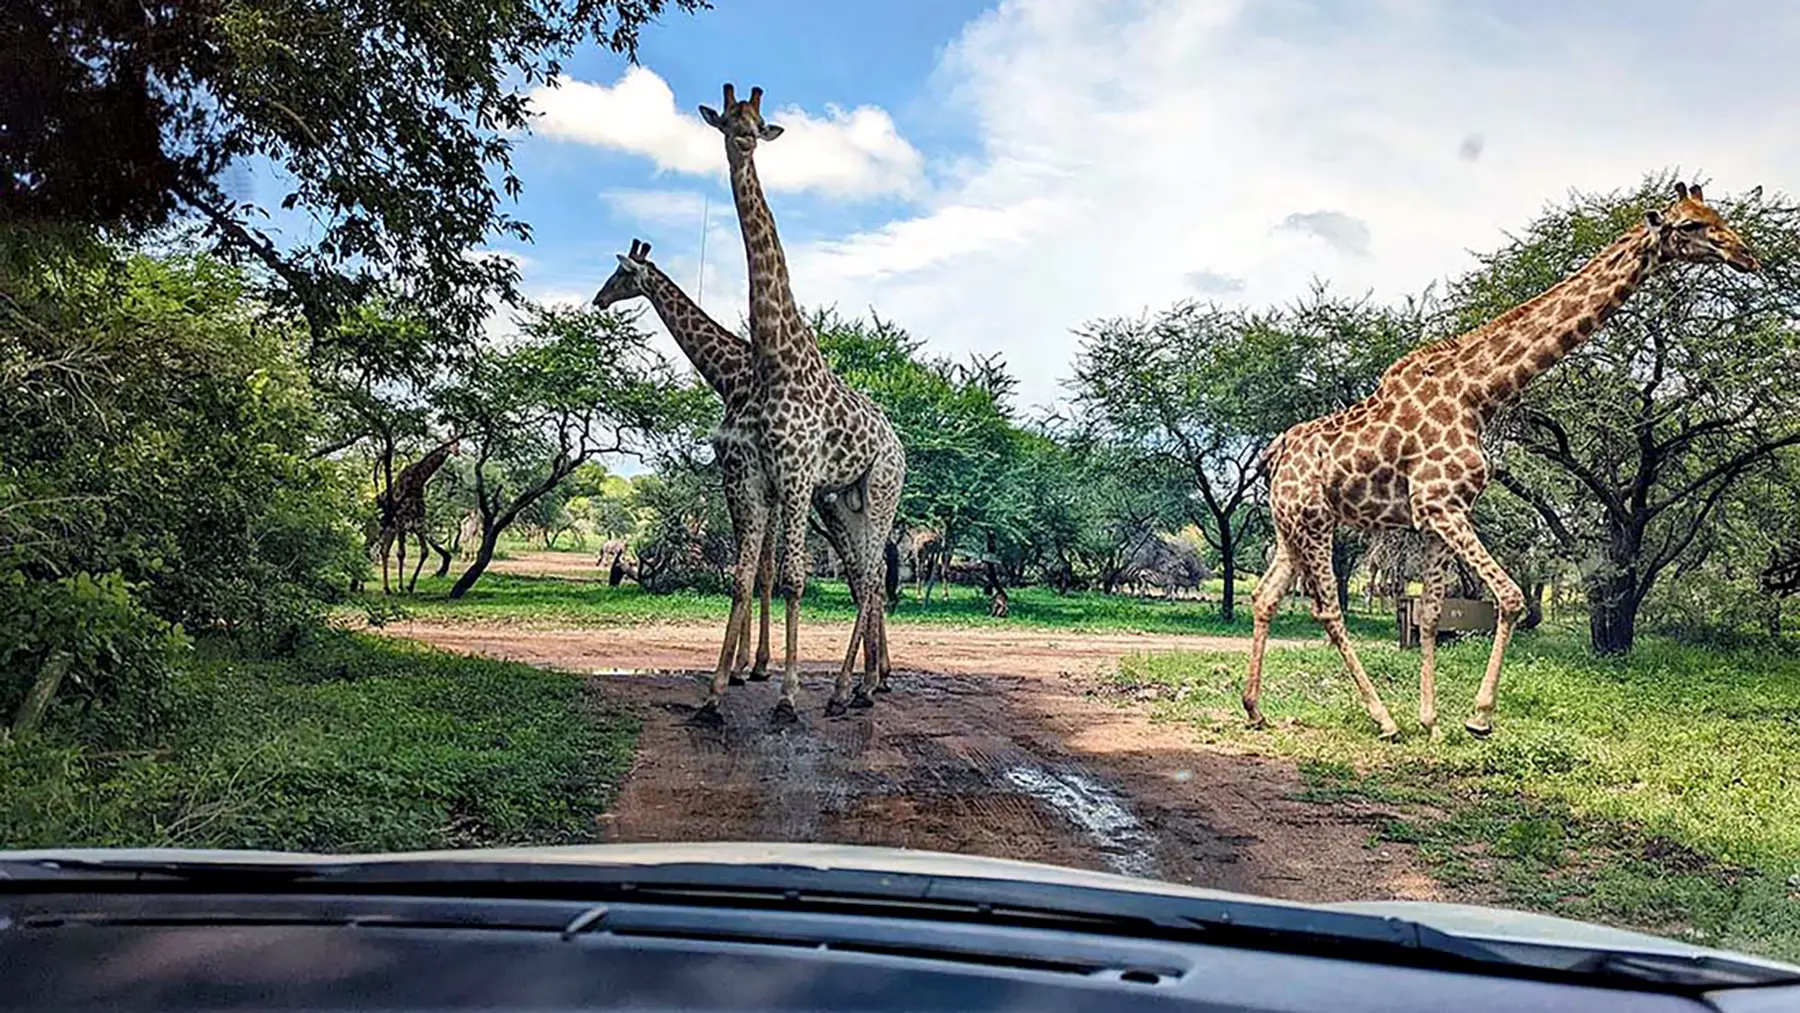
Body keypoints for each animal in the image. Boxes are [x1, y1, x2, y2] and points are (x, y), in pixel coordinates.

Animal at [374, 436, 460, 594]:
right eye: (449, 441)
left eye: (458, 443)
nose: (456, 451)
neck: (417, 481)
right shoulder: (402, 523)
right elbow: (401, 553)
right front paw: (401, 586)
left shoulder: (418, 523)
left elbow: (424, 552)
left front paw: (410, 585)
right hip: (378, 527)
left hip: (390, 529)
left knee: (384, 551)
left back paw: (387, 588)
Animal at [592, 237, 890, 708]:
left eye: (620, 274)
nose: (599, 299)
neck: (731, 375)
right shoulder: (754, 481)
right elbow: (756, 570)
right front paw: (748, 666)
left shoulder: (757, 479)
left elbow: (763, 571)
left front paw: (749, 667)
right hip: (836, 507)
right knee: (867, 575)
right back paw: (873, 676)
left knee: (870, 574)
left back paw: (868, 679)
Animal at [1247, 182, 1760, 740]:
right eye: (1689, 225)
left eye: (1719, 216)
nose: (1747, 255)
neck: (1478, 393)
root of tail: (1274, 454)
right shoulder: (1440, 505)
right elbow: (1511, 597)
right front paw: (1478, 717)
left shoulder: (1438, 516)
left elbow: (1431, 615)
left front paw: (1432, 723)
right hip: (1315, 522)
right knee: (1328, 610)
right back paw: (1382, 719)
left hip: (1289, 527)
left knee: (1265, 596)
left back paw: (1255, 709)